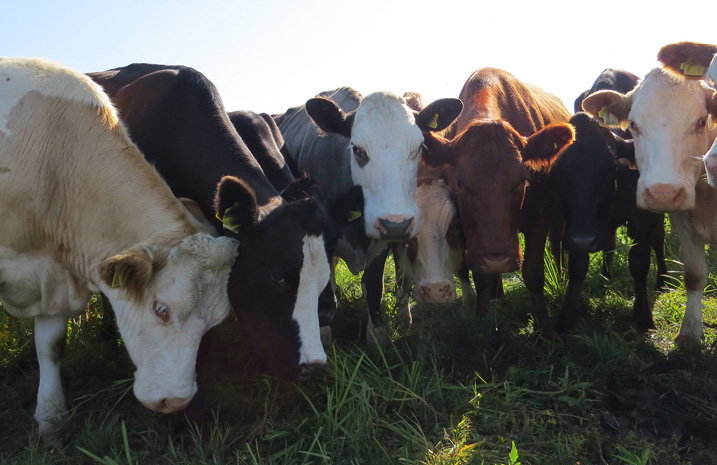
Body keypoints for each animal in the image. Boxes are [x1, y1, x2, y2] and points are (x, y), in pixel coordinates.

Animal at [0, 57, 239, 432]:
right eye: (161, 309)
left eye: (214, 323)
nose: (176, 402)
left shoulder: (54, 274)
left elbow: (50, 345)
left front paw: (51, 414)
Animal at [272, 88, 462, 340]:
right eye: (357, 149)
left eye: (419, 147)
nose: (397, 224)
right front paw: (322, 335)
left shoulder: (382, 242)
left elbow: (373, 286)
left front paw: (377, 334)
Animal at [580, 59, 716, 346]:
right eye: (632, 124)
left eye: (701, 121)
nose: (663, 193)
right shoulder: (682, 220)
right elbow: (694, 274)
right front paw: (689, 332)